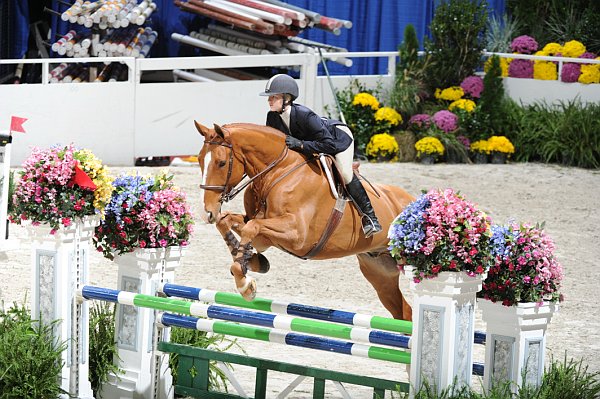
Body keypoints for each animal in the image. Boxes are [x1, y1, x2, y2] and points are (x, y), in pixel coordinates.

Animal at [195, 122, 414, 322]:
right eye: (199, 159)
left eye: (221, 163)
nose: (207, 212)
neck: (278, 172)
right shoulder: (263, 229)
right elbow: (227, 222)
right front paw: (252, 261)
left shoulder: (297, 236)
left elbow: (252, 227)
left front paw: (246, 285)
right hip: (381, 274)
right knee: (404, 312)